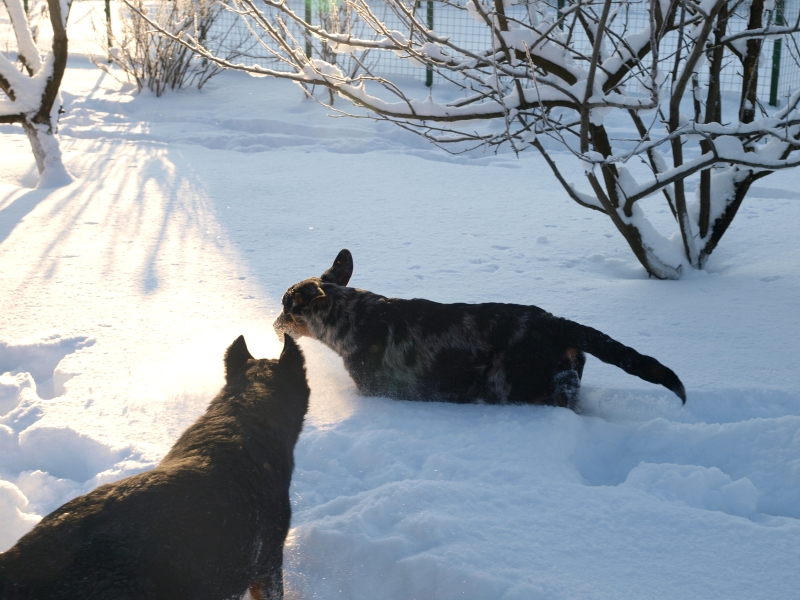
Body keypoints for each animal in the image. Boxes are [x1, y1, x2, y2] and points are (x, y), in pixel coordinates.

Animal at [276, 248, 688, 408]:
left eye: (287, 308)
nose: (274, 324)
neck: (352, 316)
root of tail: (558, 324)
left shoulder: (377, 389)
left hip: (510, 382)